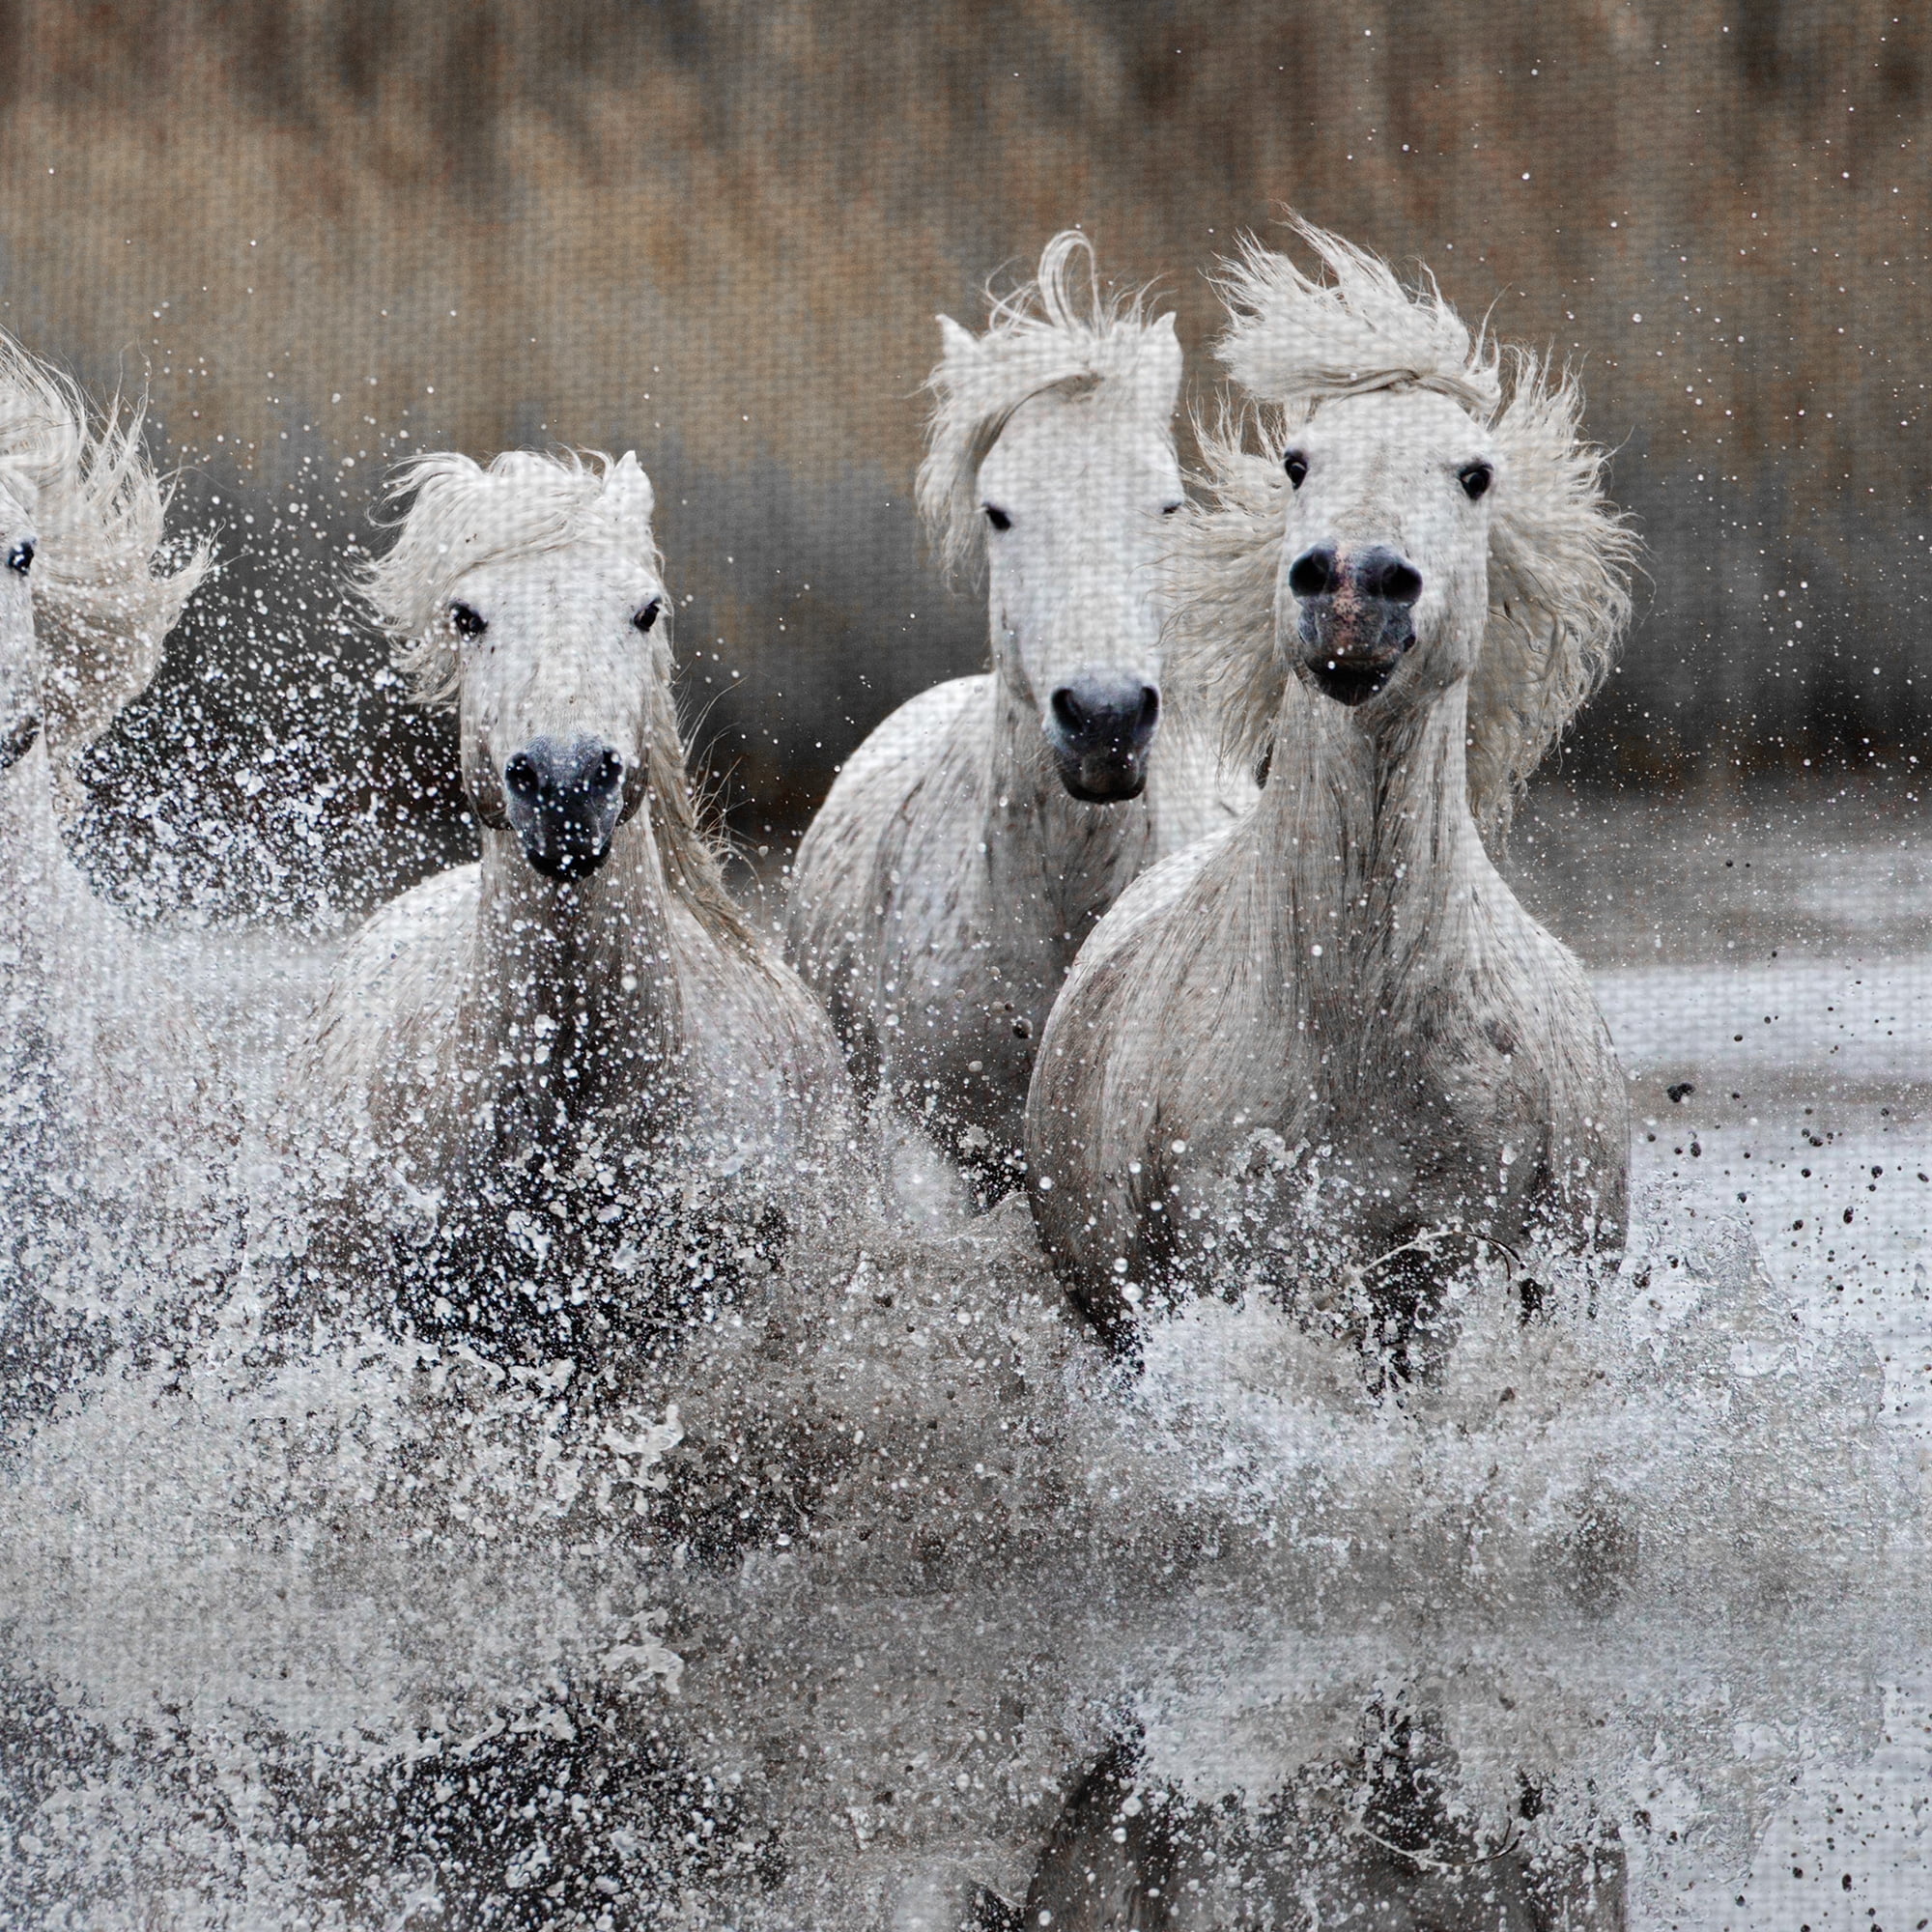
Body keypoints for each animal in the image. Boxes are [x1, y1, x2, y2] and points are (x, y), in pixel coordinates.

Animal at [1025, 220, 1636, 1377]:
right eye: (1297, 461)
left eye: (1475, 473)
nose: (1353, 586)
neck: (1354, 1025)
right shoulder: (1234, 1260)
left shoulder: (1448, 1273)